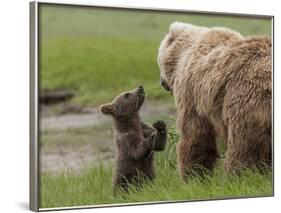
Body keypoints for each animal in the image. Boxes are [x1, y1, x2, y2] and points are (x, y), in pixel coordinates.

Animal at [156, 21, 270, 181]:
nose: (162, 82)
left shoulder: (191, 92)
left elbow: (195, 134)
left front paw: (193, 175)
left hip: (246, 99)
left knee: (244, 146)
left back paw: (239, 175)